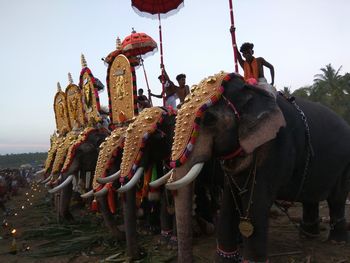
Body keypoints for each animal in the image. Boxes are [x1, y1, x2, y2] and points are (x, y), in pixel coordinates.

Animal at [161, 72, 350, 263]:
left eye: (209, 120)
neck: (251, 92)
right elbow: (229, 202)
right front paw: (225, 259)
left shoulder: (276, 149)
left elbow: (256, 205)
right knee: (310, 197)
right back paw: (308, 235)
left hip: (344, 165)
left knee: (337, 198)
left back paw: (336, 241)